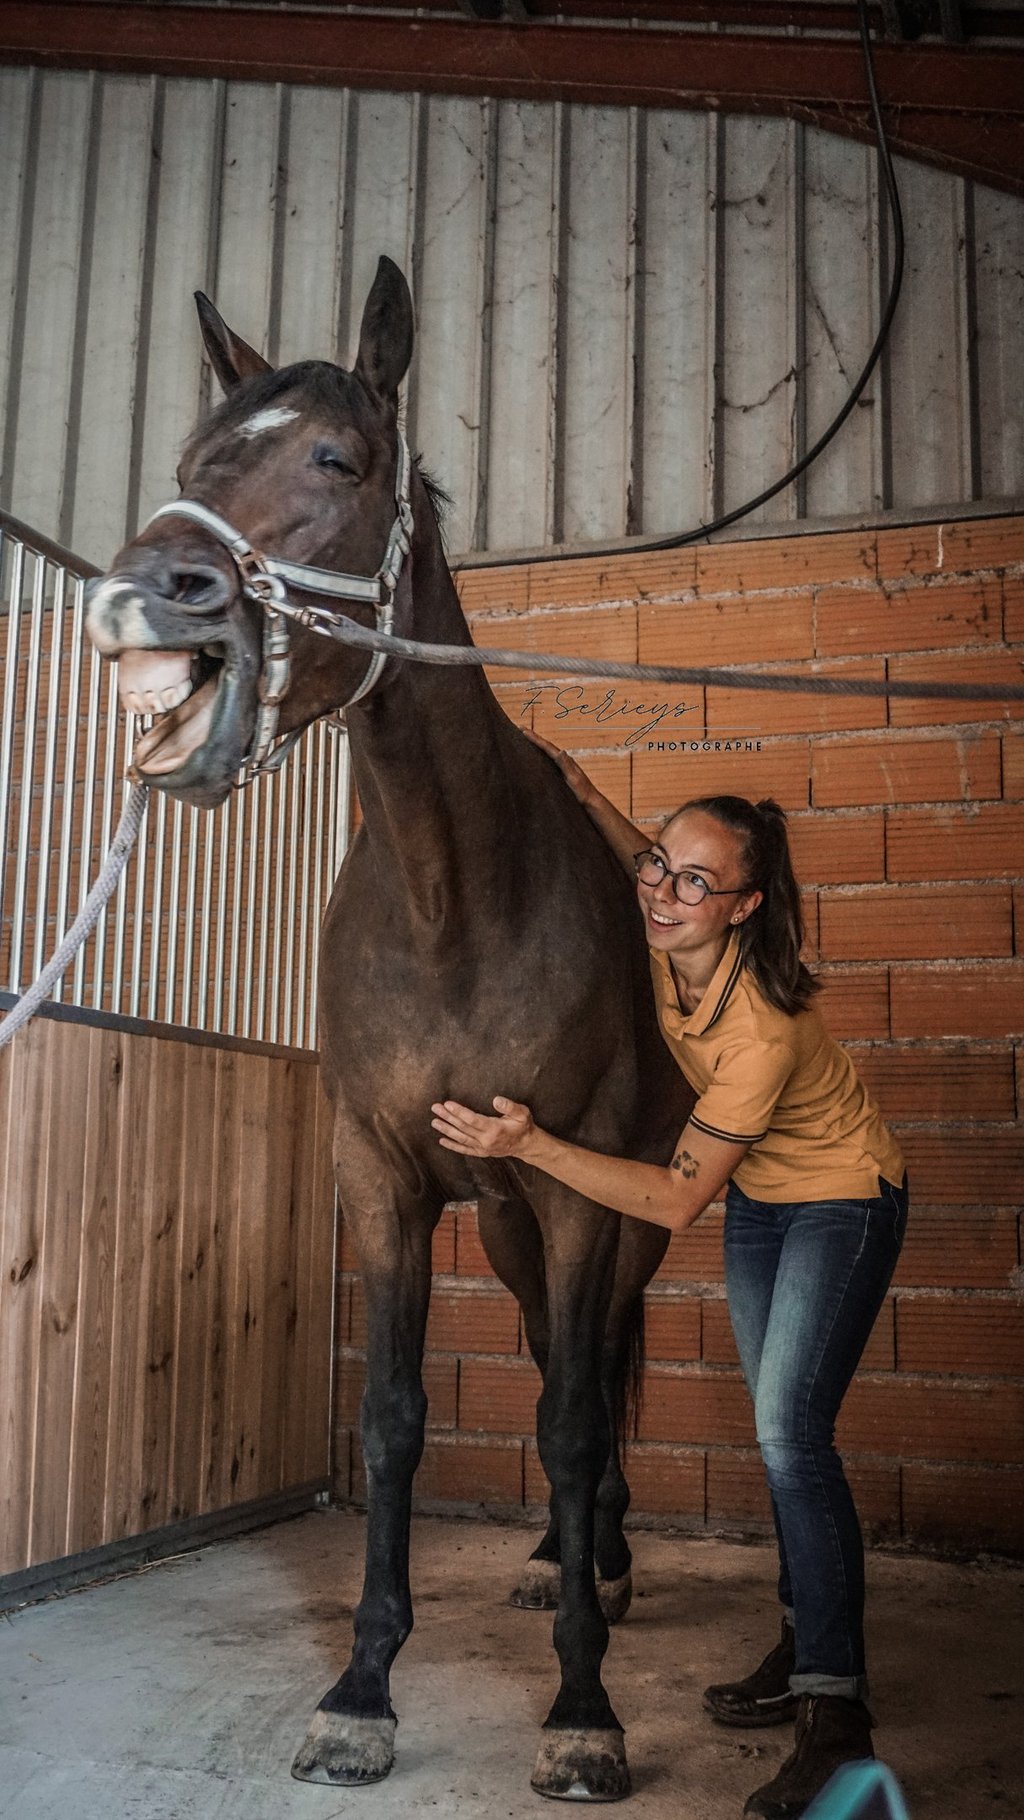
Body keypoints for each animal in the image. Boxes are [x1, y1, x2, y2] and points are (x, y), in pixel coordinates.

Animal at [85, 256, 694, 1800]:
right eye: (192, 465)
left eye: (337, 461)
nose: (136, 601)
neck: (452, 895)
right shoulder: (382, 1177)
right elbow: (397, 1417)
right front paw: (363, 1685)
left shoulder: (578, 1188)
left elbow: (574, 1412)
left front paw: (583, 1706)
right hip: (508, 1221)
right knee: (549, 1354)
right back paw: (561, 1555)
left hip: (611, 1216)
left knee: (597, 1368)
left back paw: (604, 1560)